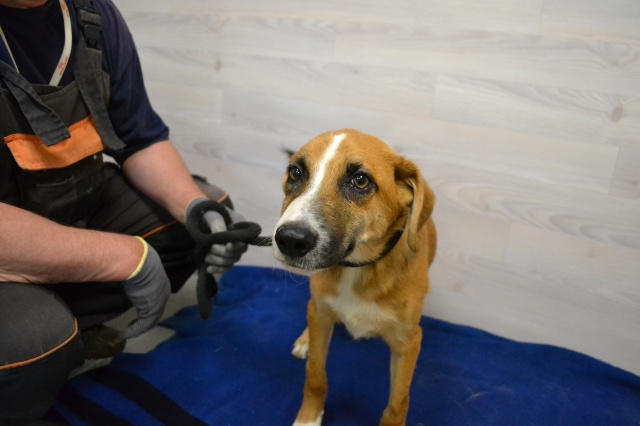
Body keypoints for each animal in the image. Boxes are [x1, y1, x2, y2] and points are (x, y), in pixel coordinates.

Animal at [272, 129, 437, 426]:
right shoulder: (321, 314)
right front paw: (308, 417)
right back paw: (305, 339)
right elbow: (315, 374)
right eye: (296, 172)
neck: (357, 267)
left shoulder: (408, 343)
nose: (290, 239)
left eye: (360, 180)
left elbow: (397, 405)